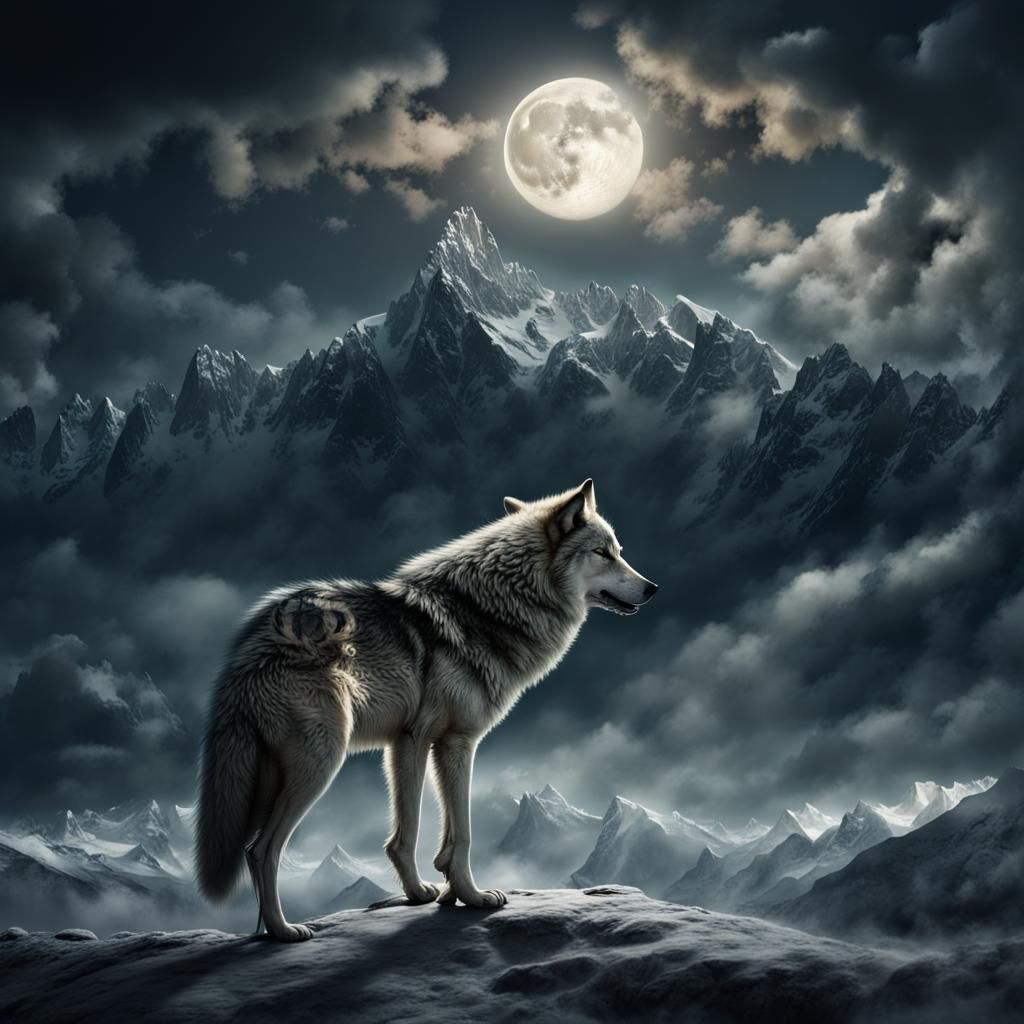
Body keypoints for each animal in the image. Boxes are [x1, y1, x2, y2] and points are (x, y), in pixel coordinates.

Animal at [195, 479, 657, 941]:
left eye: (618, 550)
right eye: (602, 552)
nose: (652, 587)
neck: (493, 608)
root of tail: (247, 645)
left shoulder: (407, 744)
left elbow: (408, 835)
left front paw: (426, 894)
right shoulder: (451, 741)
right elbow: (457, 832)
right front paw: (473, 897)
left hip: (271, 778)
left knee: (253, 849)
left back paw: (264, 932)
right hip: (319, 764)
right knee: (261, 850)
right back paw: (283, 931)